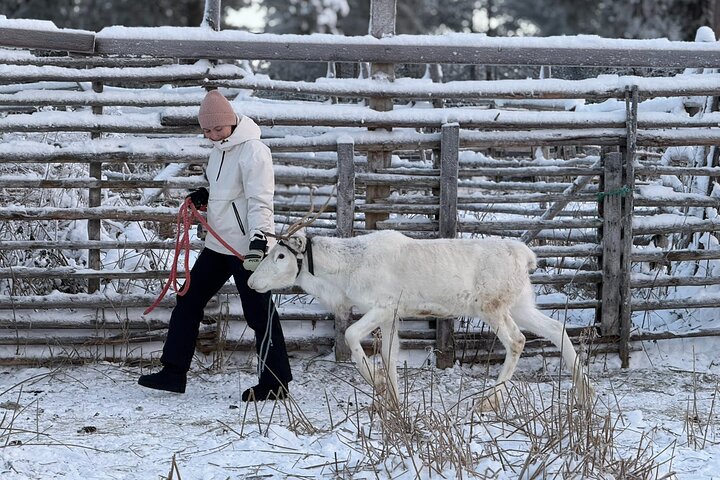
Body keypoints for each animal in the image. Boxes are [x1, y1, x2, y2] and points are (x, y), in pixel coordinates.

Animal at [247, 228, 594, 412]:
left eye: (281, 255)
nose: (251, 281)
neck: (343, 275)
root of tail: (527, 257)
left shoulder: (384, 306)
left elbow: (352, 337)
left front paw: (376, 383)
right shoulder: (393, 316)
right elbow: (390, 356)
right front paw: (393, 402)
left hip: (491, 307)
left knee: (517, 340)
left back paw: (487, 401)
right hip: (521, 303)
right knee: (557, 328)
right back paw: (583, 391)